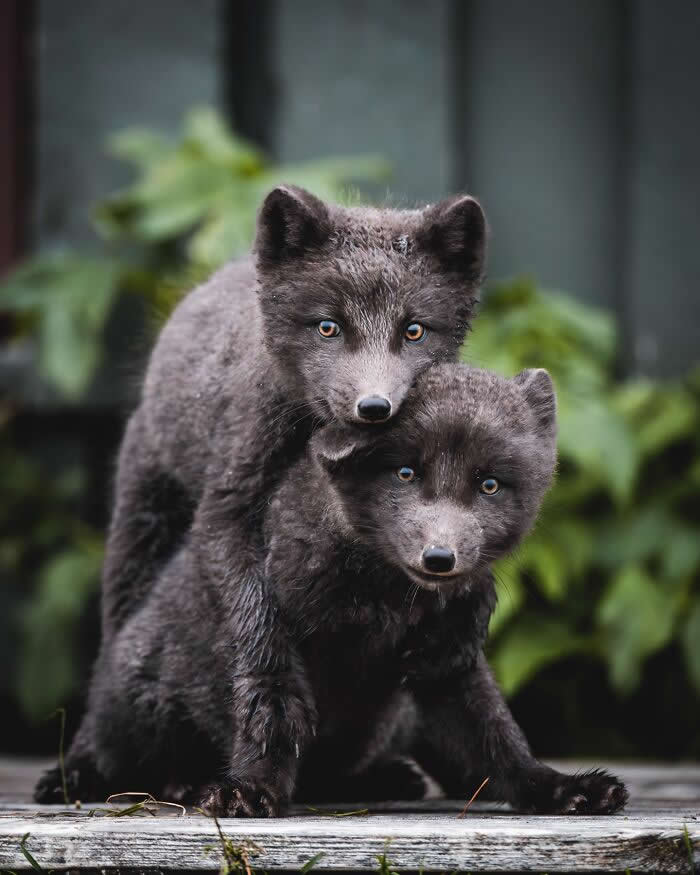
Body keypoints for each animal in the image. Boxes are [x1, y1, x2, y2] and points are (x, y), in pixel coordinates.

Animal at [35, 185, 488, 804]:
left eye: (414, 330)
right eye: (328, 327)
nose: (374, 408)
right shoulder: (229, 504)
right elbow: (255, 619)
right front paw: (272, 717)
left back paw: (378, 773)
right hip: (140, 531)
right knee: (114, 650)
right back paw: (90, 770)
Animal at [40, 364, 627, 816]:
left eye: (489, 485)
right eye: (405, 473)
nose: (440, 558)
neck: (377, 609)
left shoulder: (442, 663)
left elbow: (498, 740)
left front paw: (564, 789)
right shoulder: (273, 635)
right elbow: (265, 716)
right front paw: (248, 792)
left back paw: (389, 777)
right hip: (138, 702)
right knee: (129, 765)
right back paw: (173, 782)